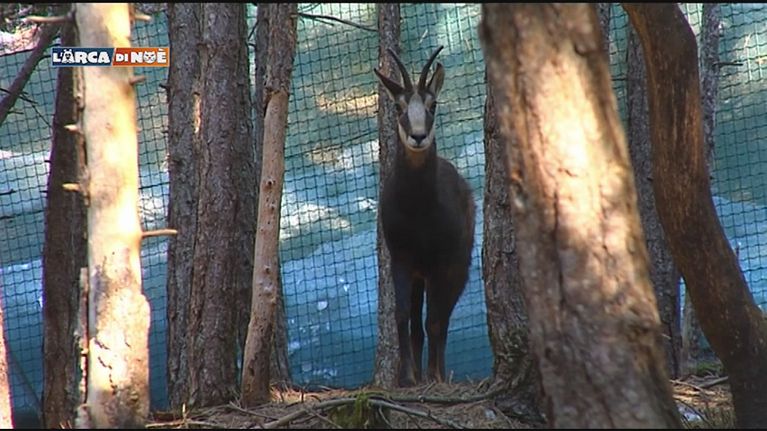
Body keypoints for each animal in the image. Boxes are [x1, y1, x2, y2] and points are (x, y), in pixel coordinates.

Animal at [374, 45, 476, 387]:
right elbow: (403, 315)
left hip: (456, 267)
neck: (418, 210)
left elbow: (434, 320)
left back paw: (439, 372)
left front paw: (433, 376)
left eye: (433, 105)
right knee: (421, 321)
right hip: (420, 274)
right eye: (398, 105)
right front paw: (408, 377)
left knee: (442, 317)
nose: (418, 137)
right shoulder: (402, 258)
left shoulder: (440, 263)